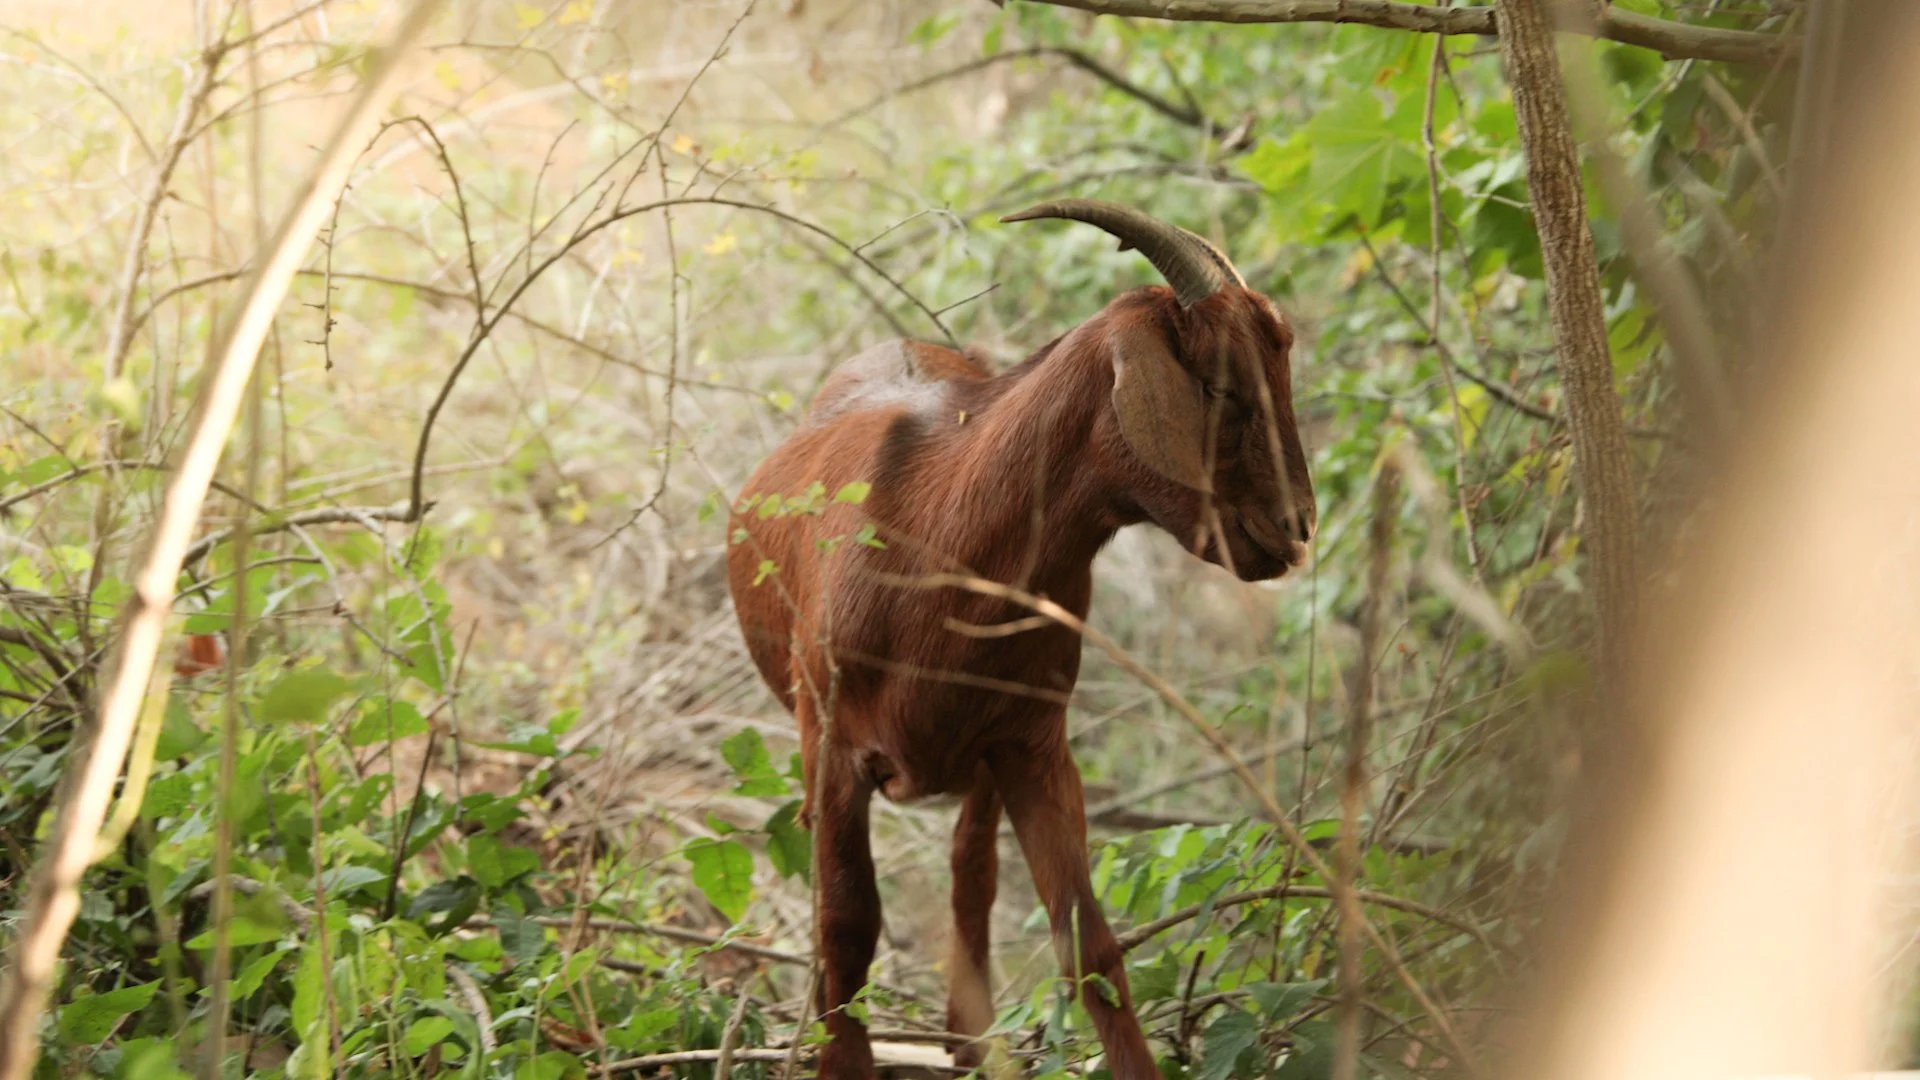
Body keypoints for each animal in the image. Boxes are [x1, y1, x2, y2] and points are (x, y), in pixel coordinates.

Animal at [725, 200, 1316, 1079]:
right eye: (1216, 385)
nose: (1295, 528)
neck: (941, 530)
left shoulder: (1032, 742)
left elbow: (1087, 944)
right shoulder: (832, 745)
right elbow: (848, 926)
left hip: (978, 758)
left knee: (971, 871)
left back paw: (965, 1044)